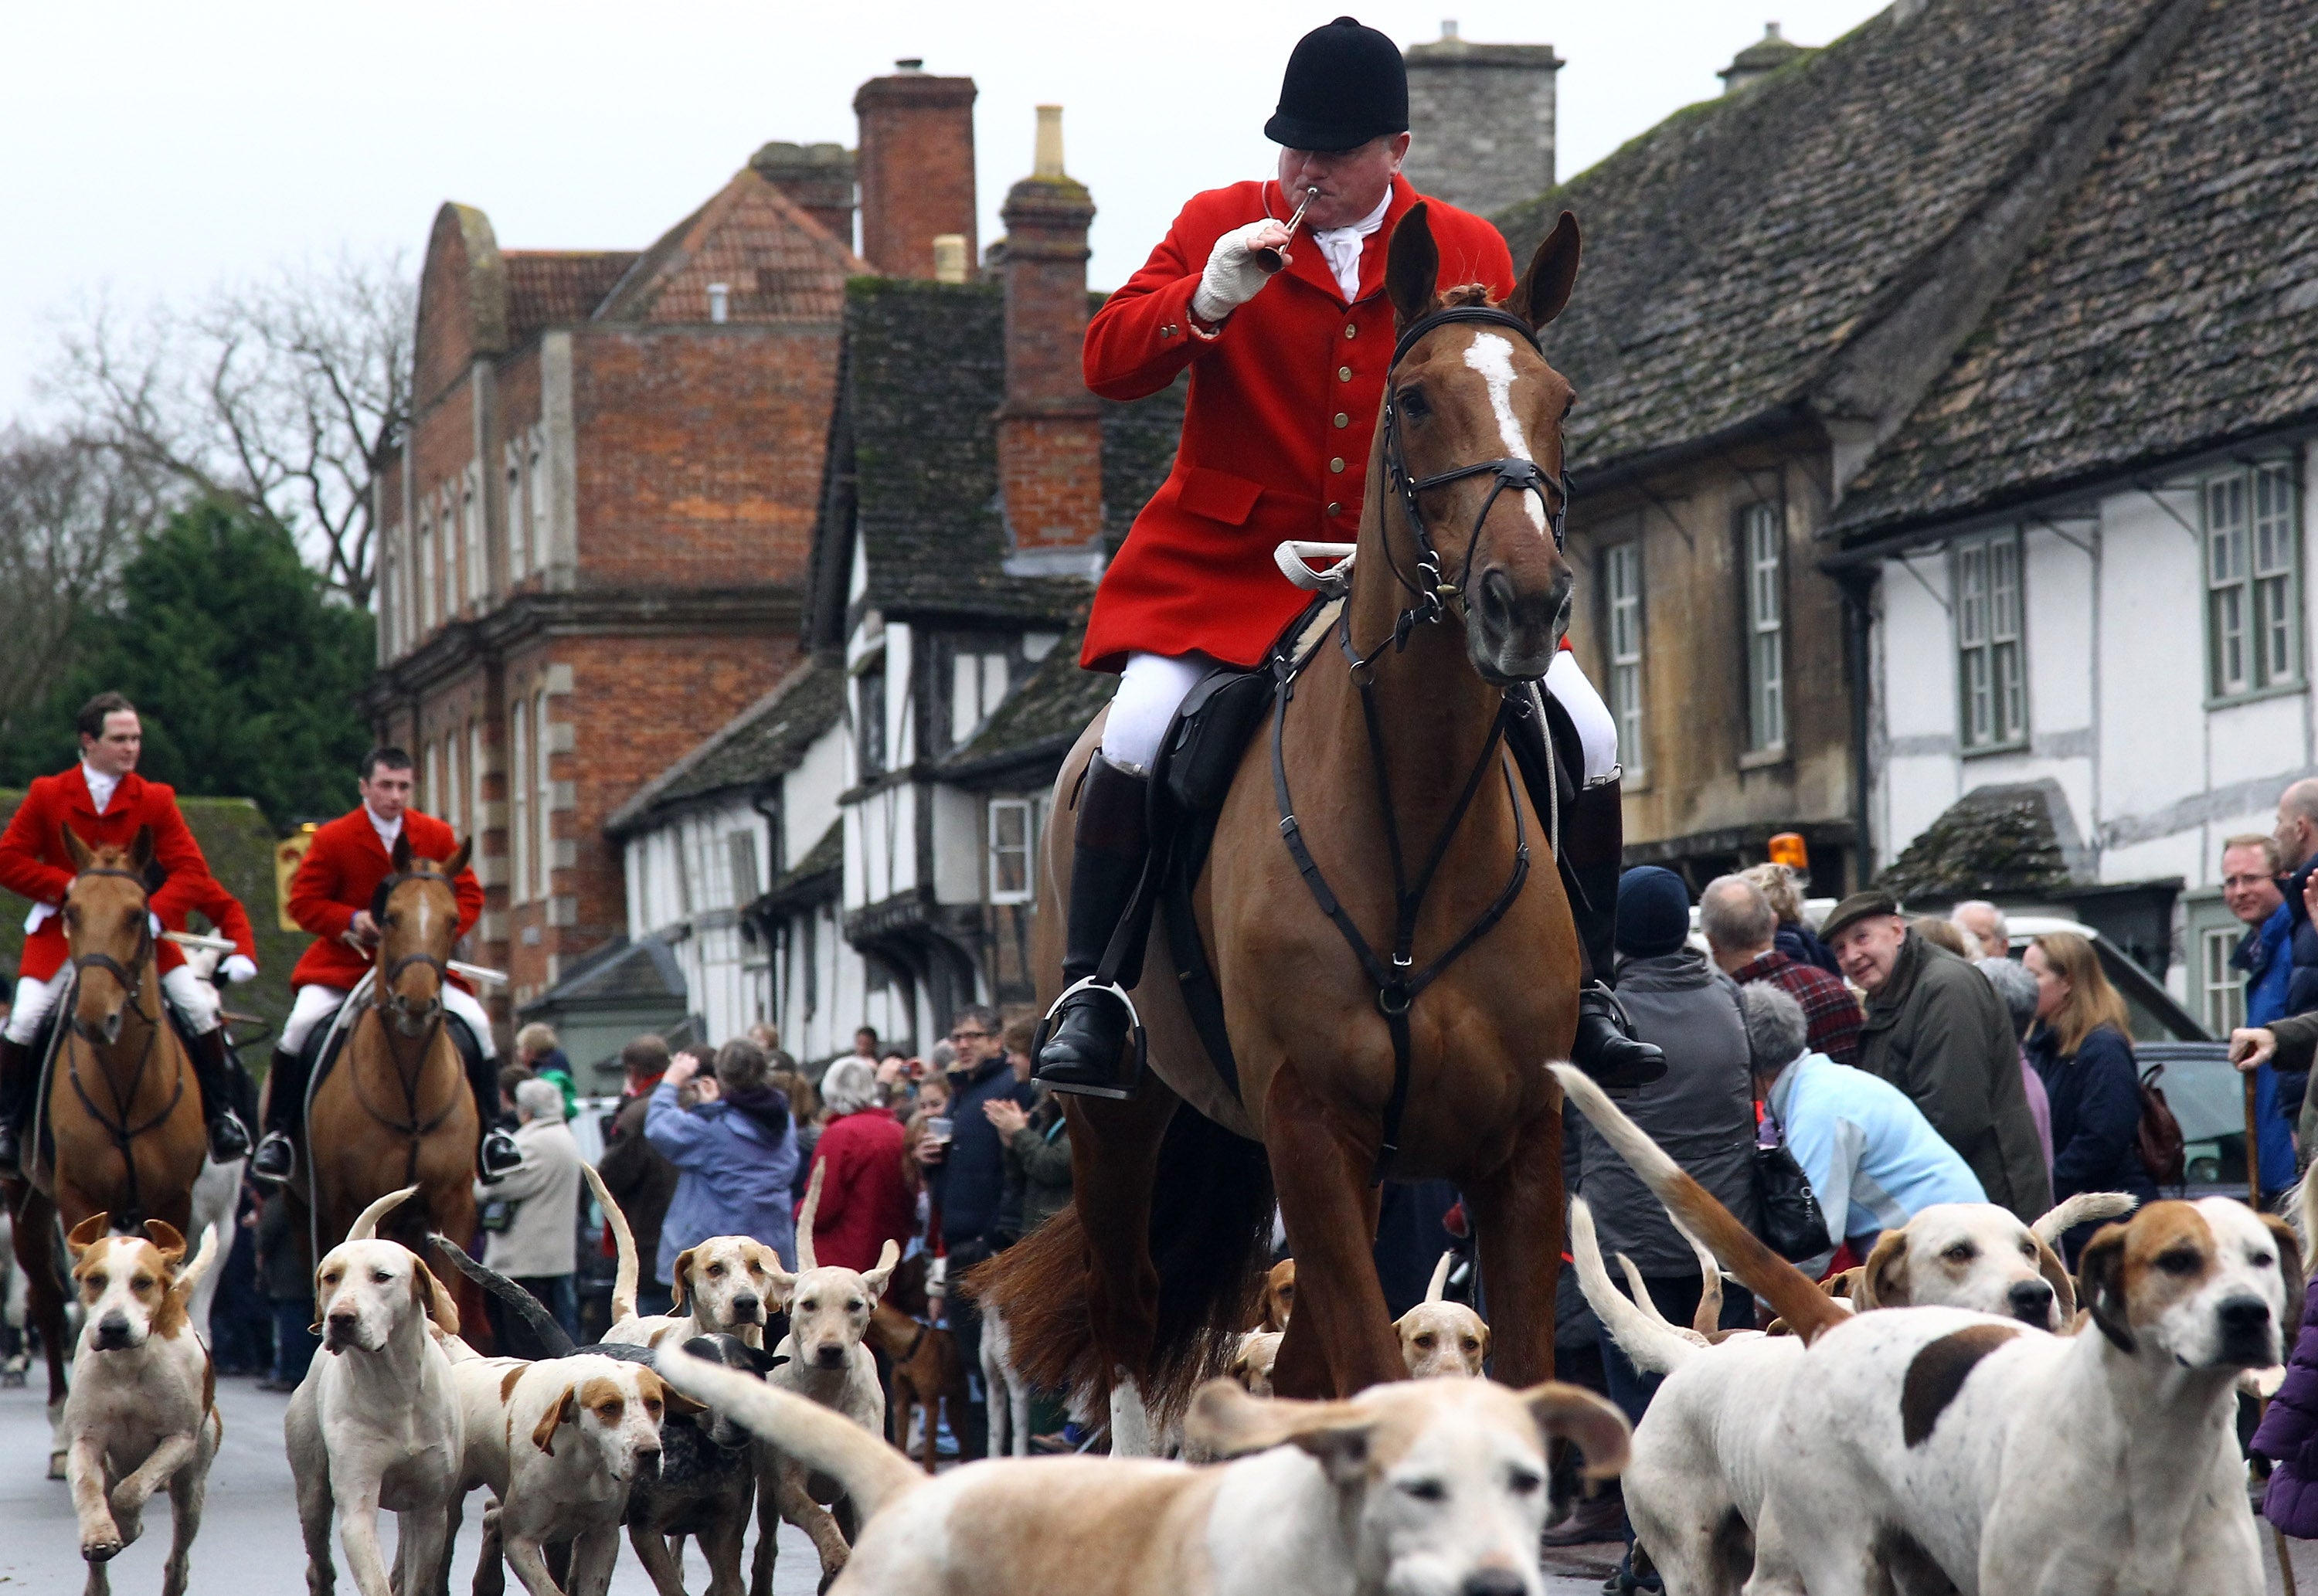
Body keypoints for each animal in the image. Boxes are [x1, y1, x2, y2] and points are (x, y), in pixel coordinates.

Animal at [978, 202, 1595, 1408]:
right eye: (1416, 401)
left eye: (1559, 401)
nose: (1526, 603)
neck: (1415, 829)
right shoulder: (1310, 1129)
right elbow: (1367, 1367)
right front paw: (1231, 277)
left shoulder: (1520, 1143)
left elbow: (1517, 1374)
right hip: (1119, 1130)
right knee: (1131, 1324)